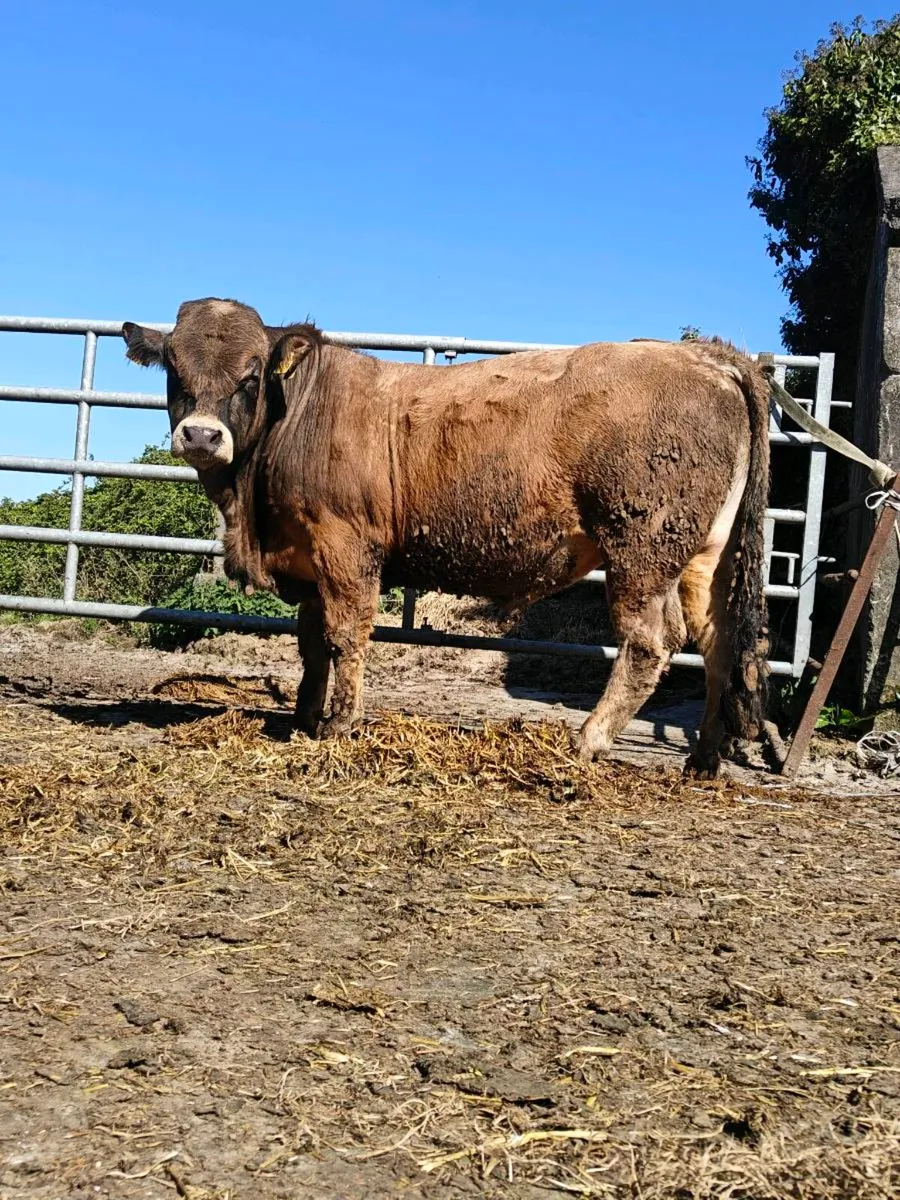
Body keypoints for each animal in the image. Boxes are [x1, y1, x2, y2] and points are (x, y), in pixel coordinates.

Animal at [123, 299, 770, 777]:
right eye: (174, 369)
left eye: (251, 374)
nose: (202, 435)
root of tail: (710, 358)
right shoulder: (307, 558)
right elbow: (311, 643)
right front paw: (303, 718)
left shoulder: (345, 547)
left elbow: (345, 636)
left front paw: (337, 725)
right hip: (704, 558)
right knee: (717, 642)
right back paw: (702, 758)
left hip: (642, 548)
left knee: (650, 643)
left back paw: (588, 741)